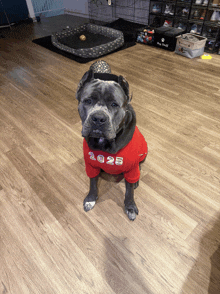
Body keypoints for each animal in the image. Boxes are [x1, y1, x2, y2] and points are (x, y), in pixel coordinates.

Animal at [76, 60, 148, 220]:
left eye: (114, 104)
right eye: (87, 101)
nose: (98, 118)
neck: (105, 142)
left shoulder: (131, 167)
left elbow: (129, 191)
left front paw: (130, 206)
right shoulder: (91, 165)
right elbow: (92, 183)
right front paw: (91, 199)